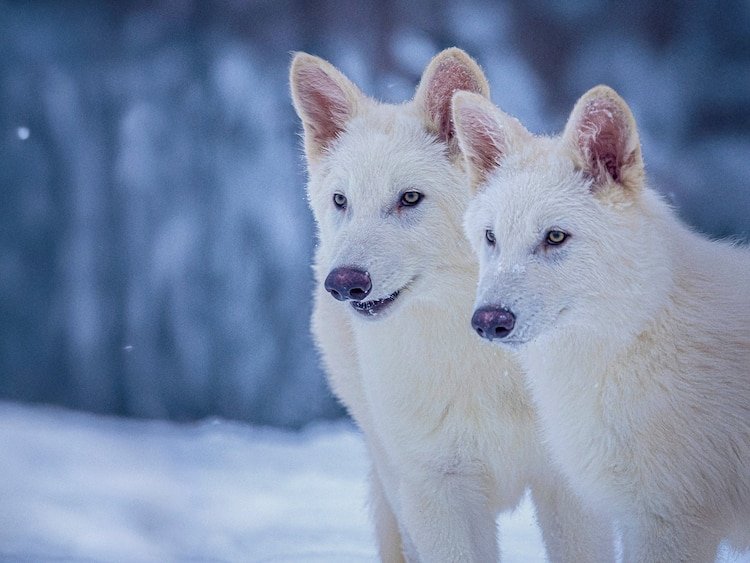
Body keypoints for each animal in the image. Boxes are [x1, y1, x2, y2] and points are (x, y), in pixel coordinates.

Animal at [289, 49, 614, 562]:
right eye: (341, 200)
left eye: (409, 198)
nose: (343, 284)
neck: (482, 361)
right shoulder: (436, 493)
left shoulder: (569, 489)